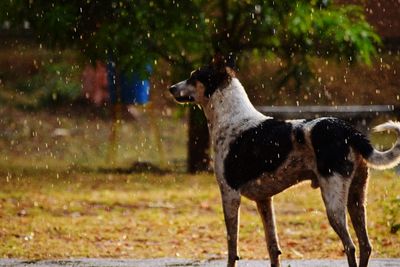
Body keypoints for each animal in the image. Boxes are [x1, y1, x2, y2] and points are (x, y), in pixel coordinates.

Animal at [169, 58, 400, 267]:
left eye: (194, 76)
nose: (171, 88)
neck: (232, 118)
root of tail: (350, 131)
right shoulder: (264, 200)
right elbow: (273, 247)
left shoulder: (229, 194)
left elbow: (232, 248)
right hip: (357, 198)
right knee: (365, 245)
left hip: (333, 202)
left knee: (350, 246)